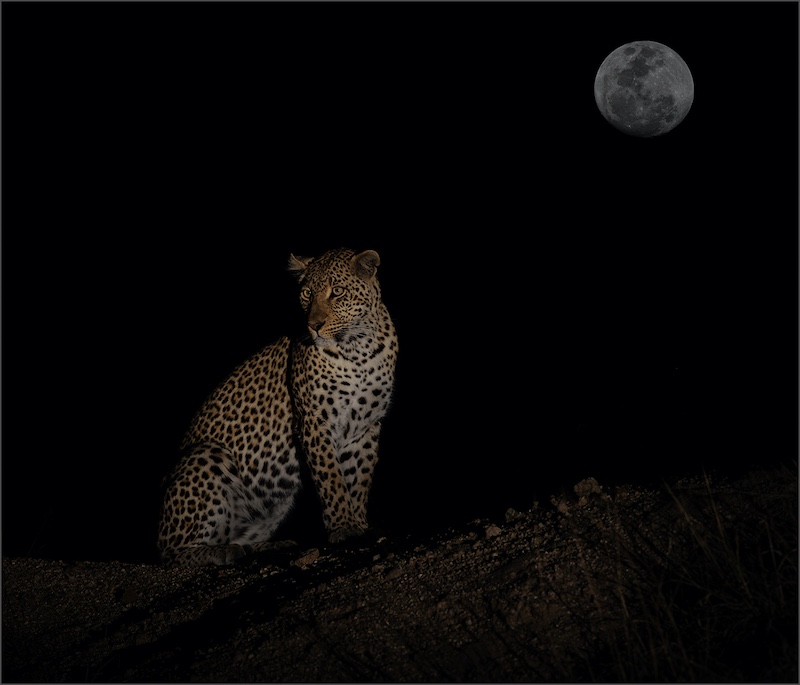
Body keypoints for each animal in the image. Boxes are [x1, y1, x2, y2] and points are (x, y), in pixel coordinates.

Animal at [157, 248, 398, 566]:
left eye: (337, 292)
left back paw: (268, 545)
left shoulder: (366, 426)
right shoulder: (314, 421)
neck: (358, 348)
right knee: (171, 554)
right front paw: (344, 526)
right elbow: (332, 478)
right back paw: (220, 551)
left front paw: (357, 522)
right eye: (307, 293)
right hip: (207, 454)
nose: (314, 325)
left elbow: (359, 478)